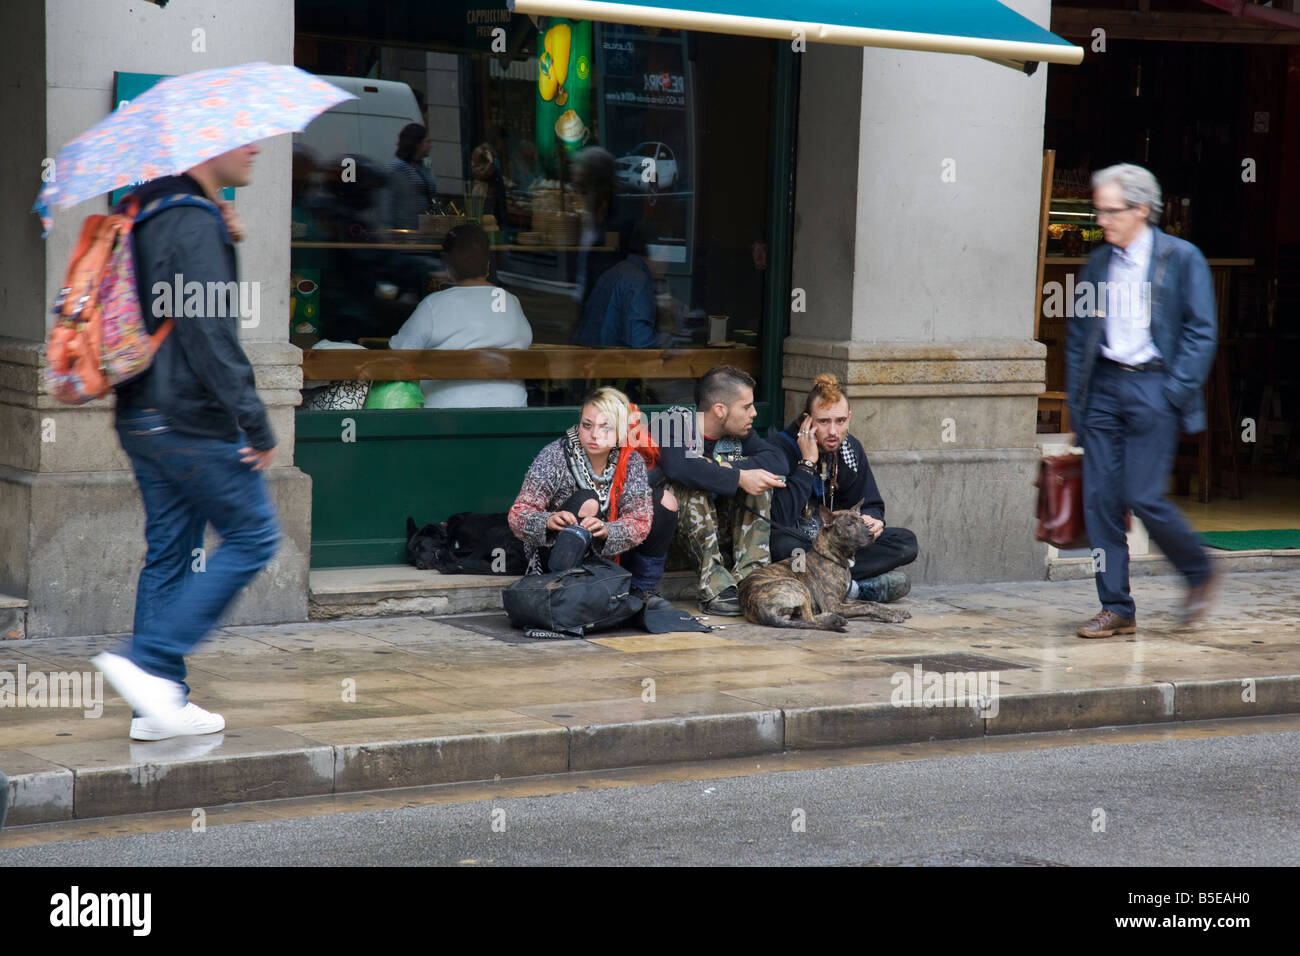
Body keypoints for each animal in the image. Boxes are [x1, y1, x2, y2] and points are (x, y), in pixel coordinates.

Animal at [738, 504, 909, 632]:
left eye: (863, 522)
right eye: (849, 524)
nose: (871, 535)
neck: (832, 557)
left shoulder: (845, 599)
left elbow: (873, 603)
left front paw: (894, 611)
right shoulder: (834, 605)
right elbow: (867, 606)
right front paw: (891, 616)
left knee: (804, 618)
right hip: (798, 587)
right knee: (810, 619)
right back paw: (833, 619)